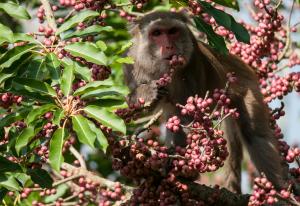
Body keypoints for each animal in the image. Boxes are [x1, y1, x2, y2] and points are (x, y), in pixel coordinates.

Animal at [122, 11, 288, 193]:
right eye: (157, 33)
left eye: (172, 31)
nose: (169, 47)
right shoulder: (132, 62)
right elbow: (138, 110)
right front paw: (145, 93)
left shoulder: (192, 63)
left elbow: (187, 117)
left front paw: (181, 167)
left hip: (248, 87)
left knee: (256, 136)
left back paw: (277, 190)